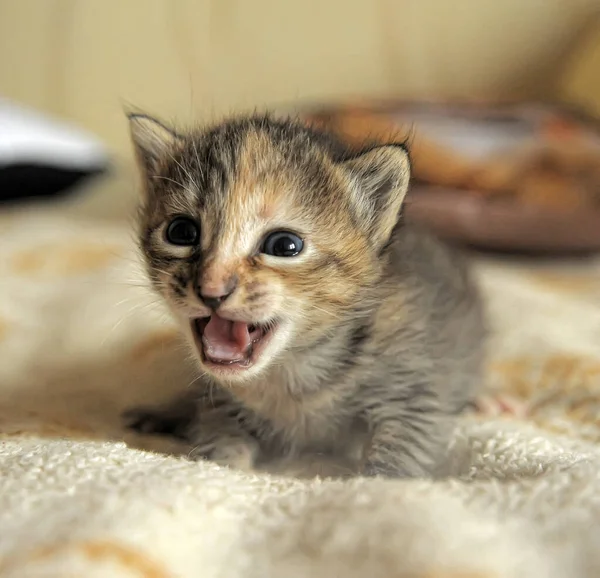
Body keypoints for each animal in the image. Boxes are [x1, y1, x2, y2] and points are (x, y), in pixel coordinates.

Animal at [124, 110, 486, 474]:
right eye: (181, 232)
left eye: (284, 246)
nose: (211, 289)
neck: (292, 369)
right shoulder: (217, 399)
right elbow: (218, 434)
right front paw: (223, 465)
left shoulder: (414, 392)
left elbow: (401, 455)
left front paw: (375, 481)